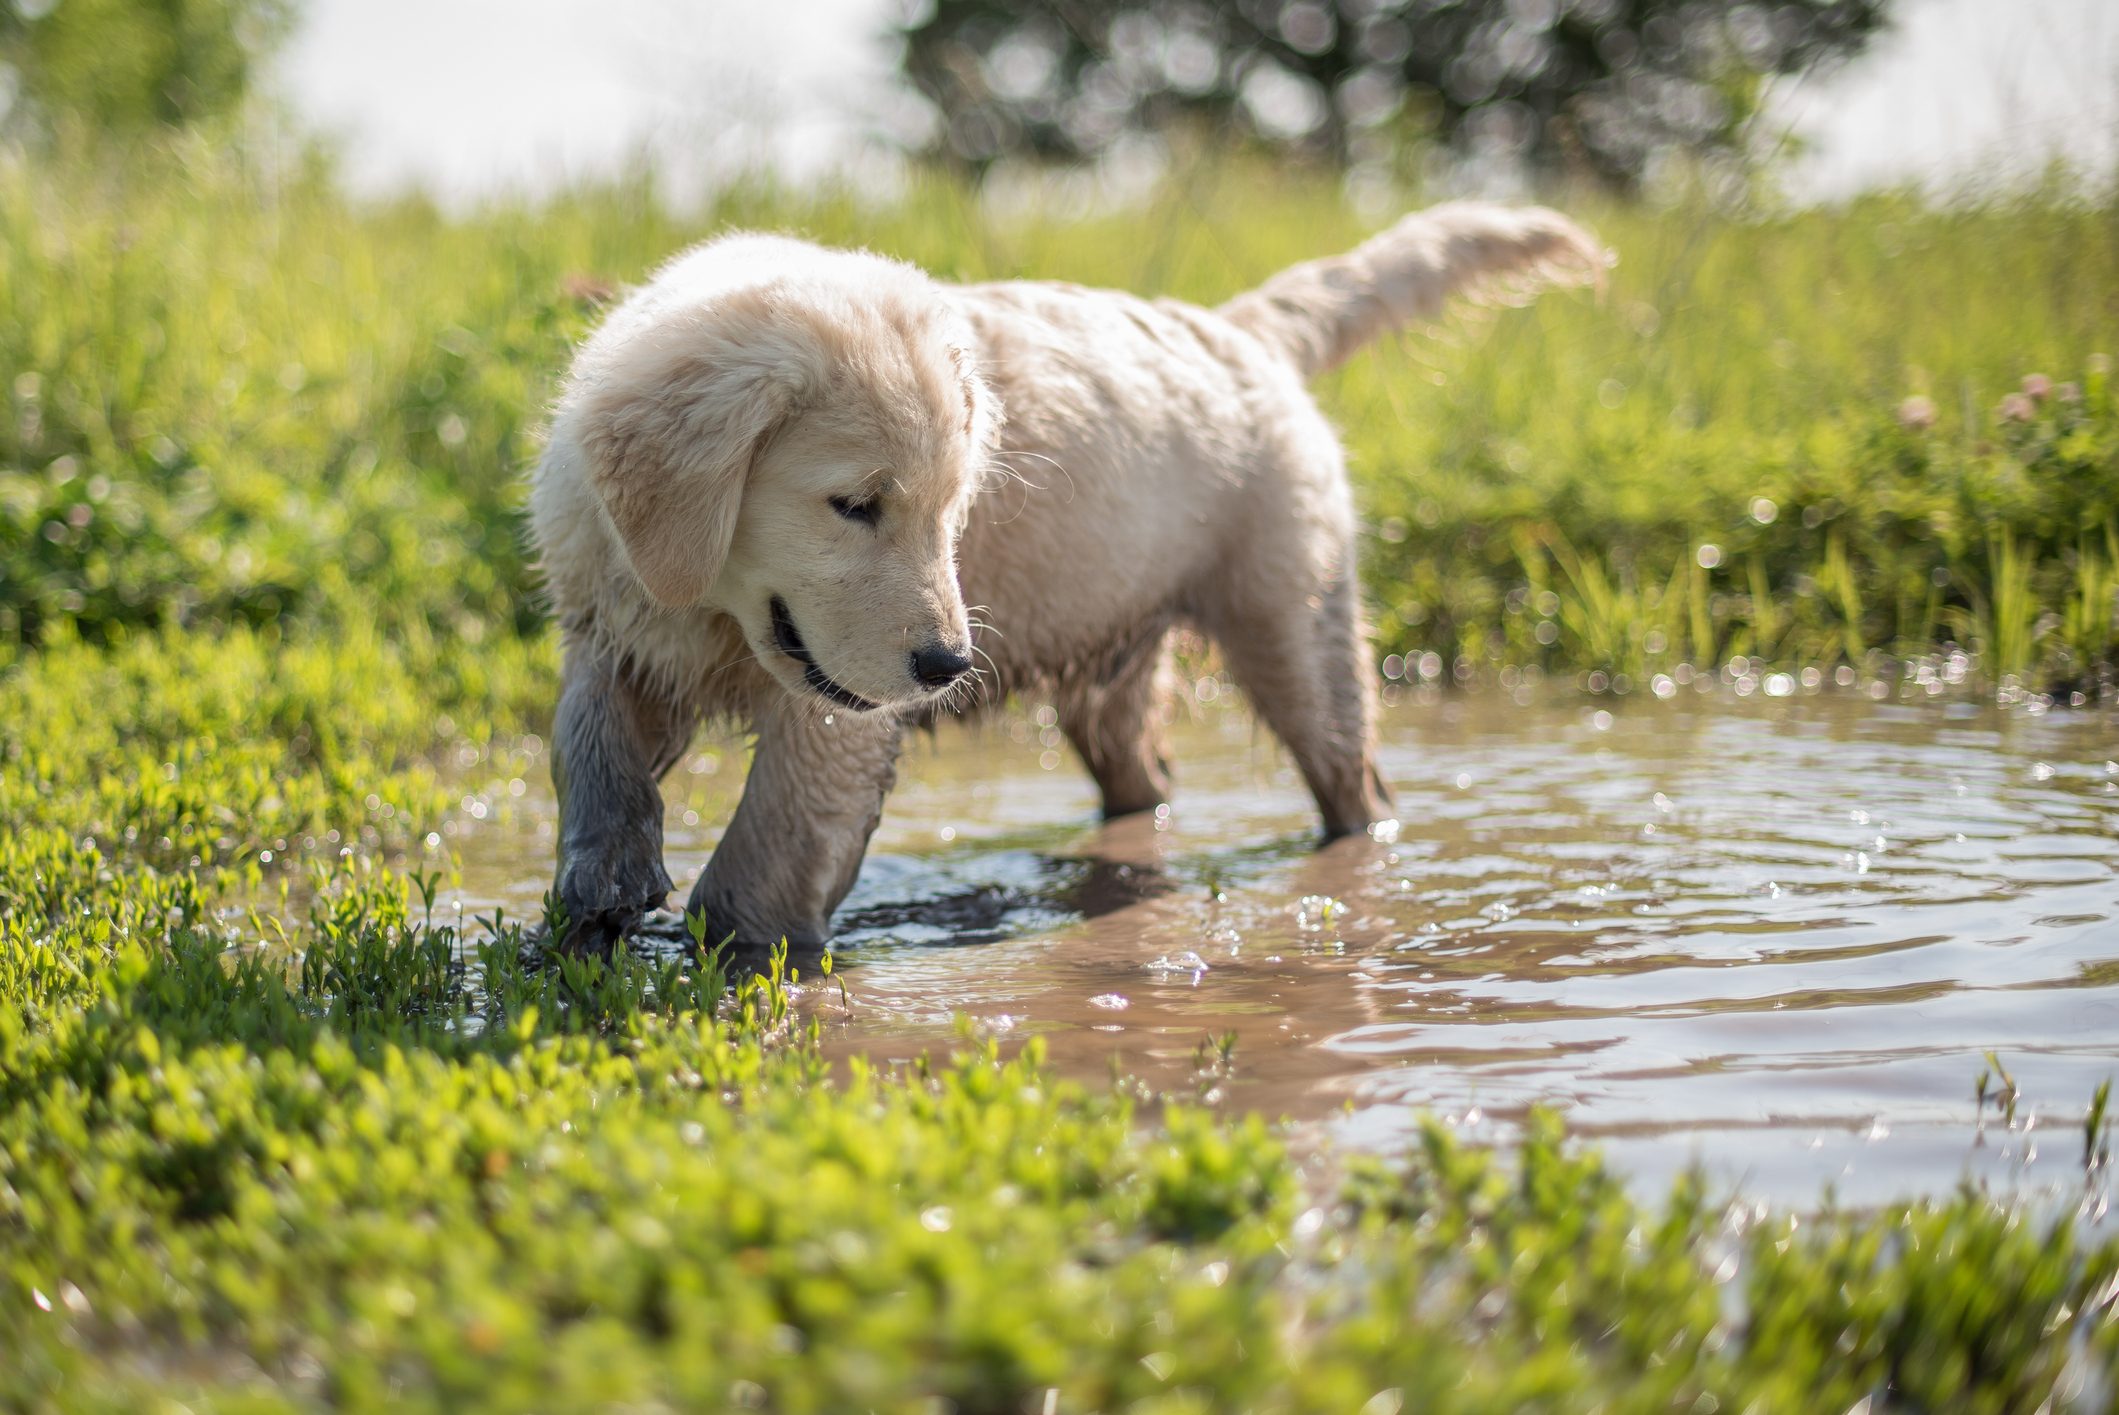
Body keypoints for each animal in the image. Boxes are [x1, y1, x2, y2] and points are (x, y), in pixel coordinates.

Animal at [529, 201, 1601, 948]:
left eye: (950, 513)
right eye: (854, 505)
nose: (948, 666)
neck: (714, 614)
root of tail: (1239, 331)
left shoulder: (832, 707)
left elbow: (774, 837)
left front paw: (738, 957)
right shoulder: (616, 618)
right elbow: (586, 739)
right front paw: (598, 888)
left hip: (1297, 622)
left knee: (1352, 777)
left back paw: (1350, 861)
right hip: (1117, 660)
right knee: (1145, 776)